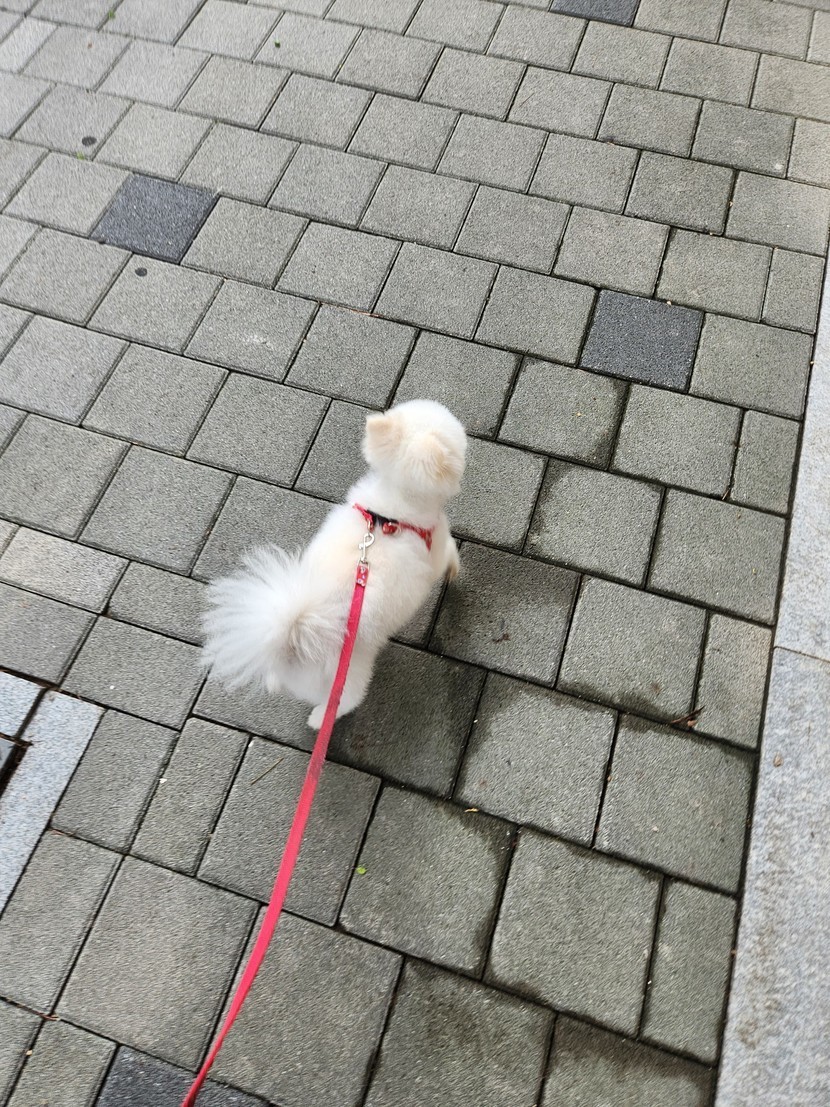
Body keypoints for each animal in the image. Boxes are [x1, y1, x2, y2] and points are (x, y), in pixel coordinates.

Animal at [202, 399, 467, 728]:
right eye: (459, 437)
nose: (466, 429)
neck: (390, 512)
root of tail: (293, 640)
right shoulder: (436, 547)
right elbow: (450, 553)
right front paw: (455, 570)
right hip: (350, 673)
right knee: (344, 701)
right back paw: (319, 720)